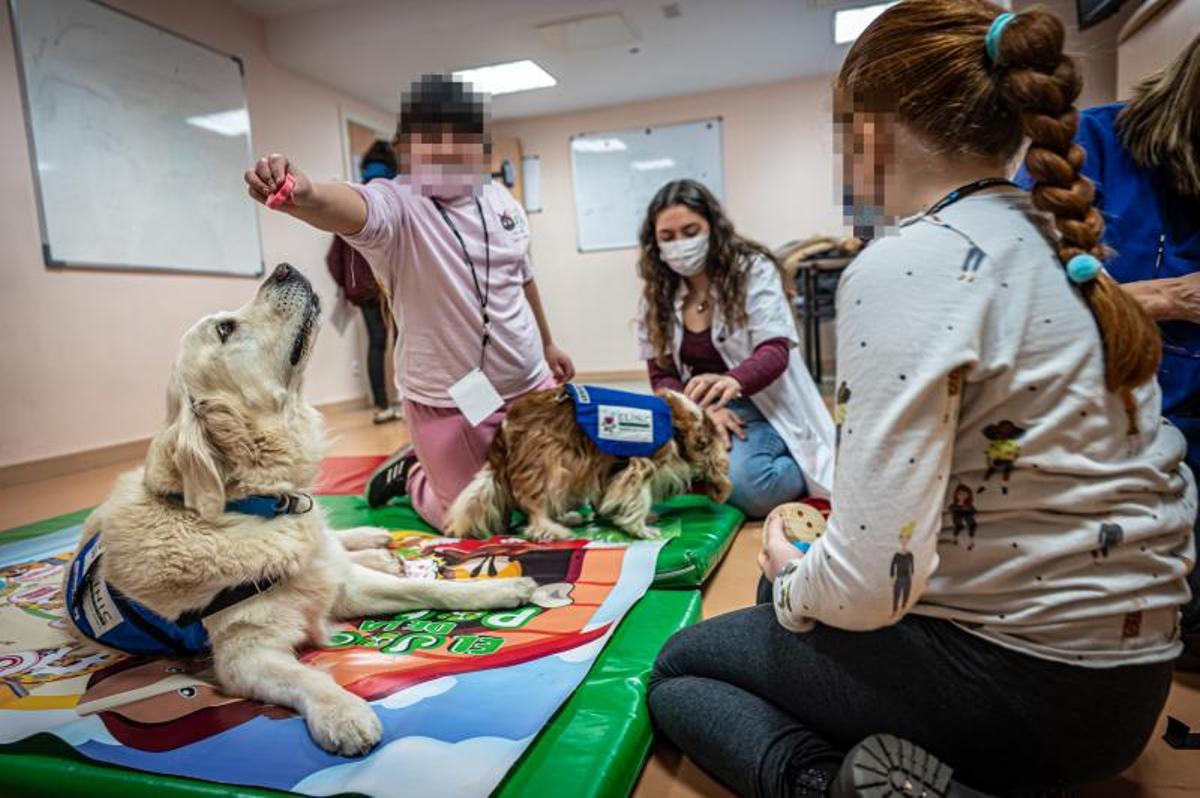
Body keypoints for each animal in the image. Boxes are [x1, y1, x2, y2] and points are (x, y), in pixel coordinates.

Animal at [65, 266, 535, 753]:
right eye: (225, 329)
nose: (283, 269)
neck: (255, 506)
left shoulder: (343, 586)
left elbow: (429, 591)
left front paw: (496, 590)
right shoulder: (246, 655)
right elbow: (307, 677)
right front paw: (343, 713)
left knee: (336, 544)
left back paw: (374, 542)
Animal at [446, 384, 729, 542]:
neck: (681, 429)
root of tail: (504, 427)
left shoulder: (610, 468)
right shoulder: (641, 465)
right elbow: (639, 498)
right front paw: (640, 529)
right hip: (547, 463)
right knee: (534, 508)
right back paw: (552, 529)